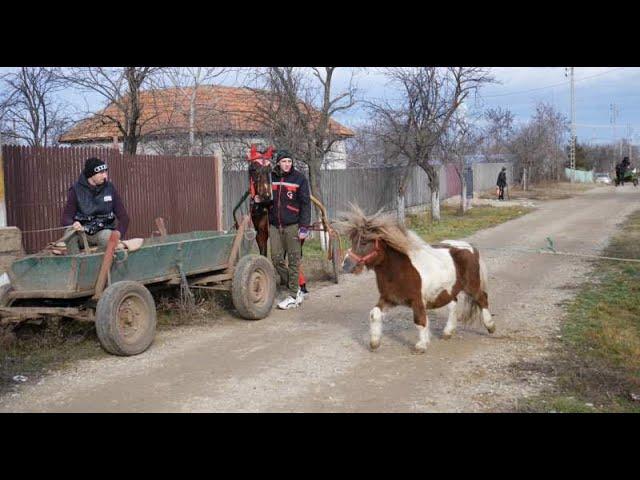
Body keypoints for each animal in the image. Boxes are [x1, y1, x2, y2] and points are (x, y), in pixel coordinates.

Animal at [338, 205, 498, 352]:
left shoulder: (417, 300)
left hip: (472, 286)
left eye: (364, 242)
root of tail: (470, 247)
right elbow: (374, 314)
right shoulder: (389, 298)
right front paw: (374, 343)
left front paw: (421, 345)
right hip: (448, 290)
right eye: (352, 241)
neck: (398, 270)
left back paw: (491, 327)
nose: (345, 265)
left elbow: (420, 321)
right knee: (453, 304)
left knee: (482, 299)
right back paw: (448, 332)